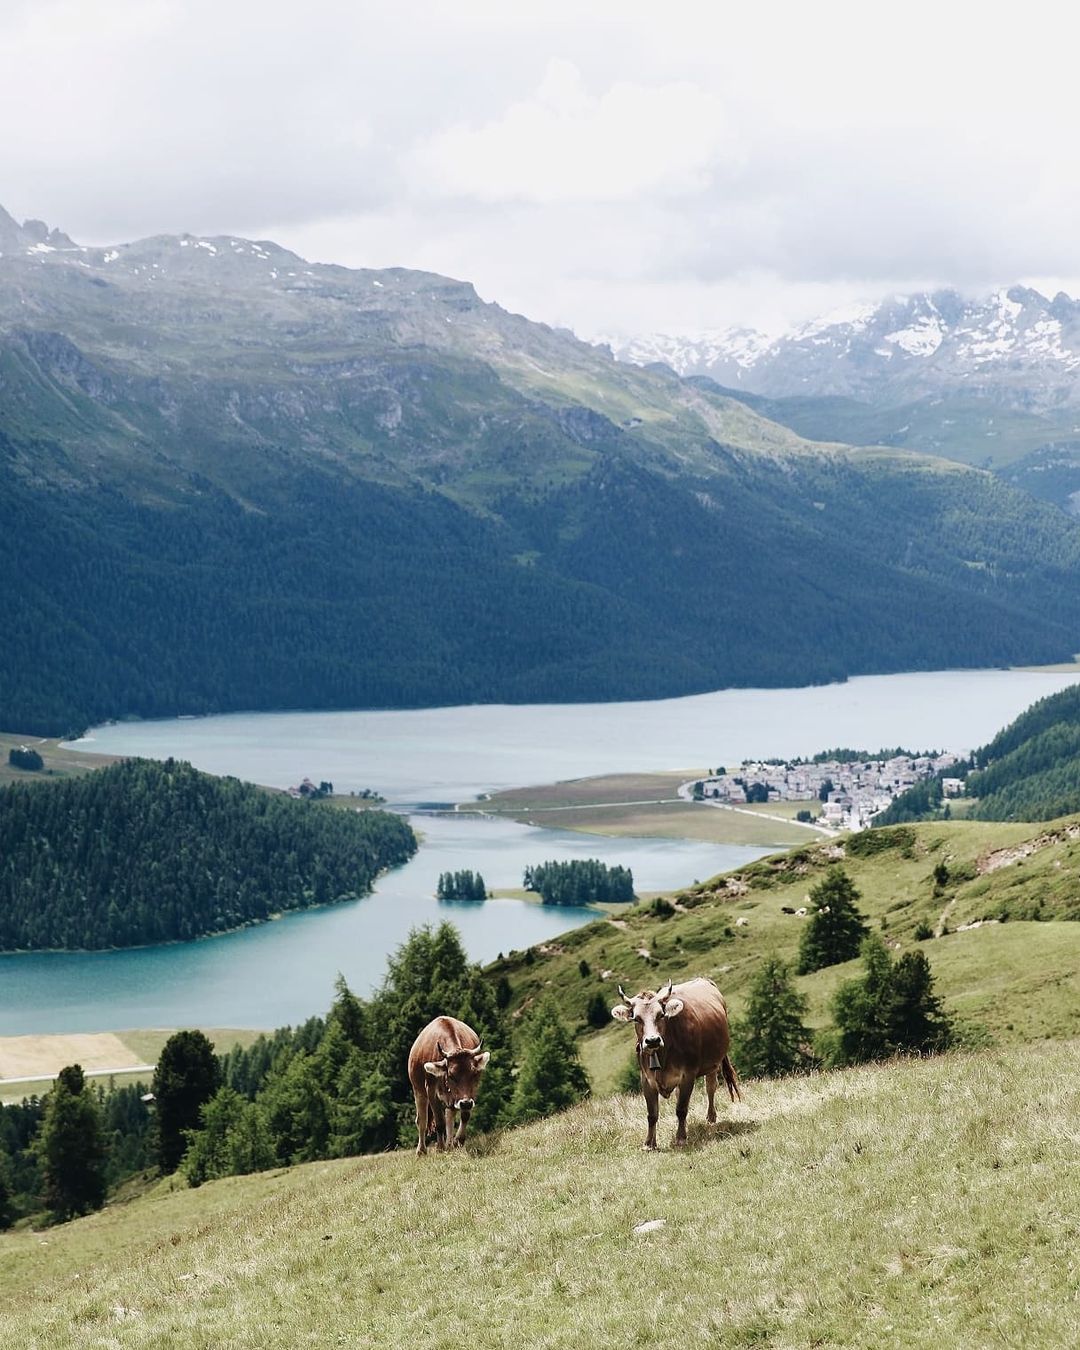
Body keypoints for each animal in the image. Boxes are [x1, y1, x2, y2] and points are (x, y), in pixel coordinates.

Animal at [407, 1015, 491, 1155]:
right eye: (451, 1075)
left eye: (474, 1074)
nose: (466, 1103)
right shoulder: (431, 1090)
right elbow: (440, 1122)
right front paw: (440, 1148)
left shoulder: (471, 1092)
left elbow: (464, 1116)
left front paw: (458, 1141)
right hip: (418, 1090)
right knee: (422, 1120)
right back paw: (421, 1150)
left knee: (449, 1117)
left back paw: (450, 1144)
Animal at [612, 977, 739, 1144]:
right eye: (636, 1019)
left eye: (661, 1015)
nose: (652, 1040)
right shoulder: (646, 1080)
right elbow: (652, 1115)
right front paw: (649, 1143)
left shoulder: (688, 1075)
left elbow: (681, 1109)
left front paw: (680, 1138)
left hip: (714, 1062)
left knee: (710, 1087)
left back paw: (711, 1117)